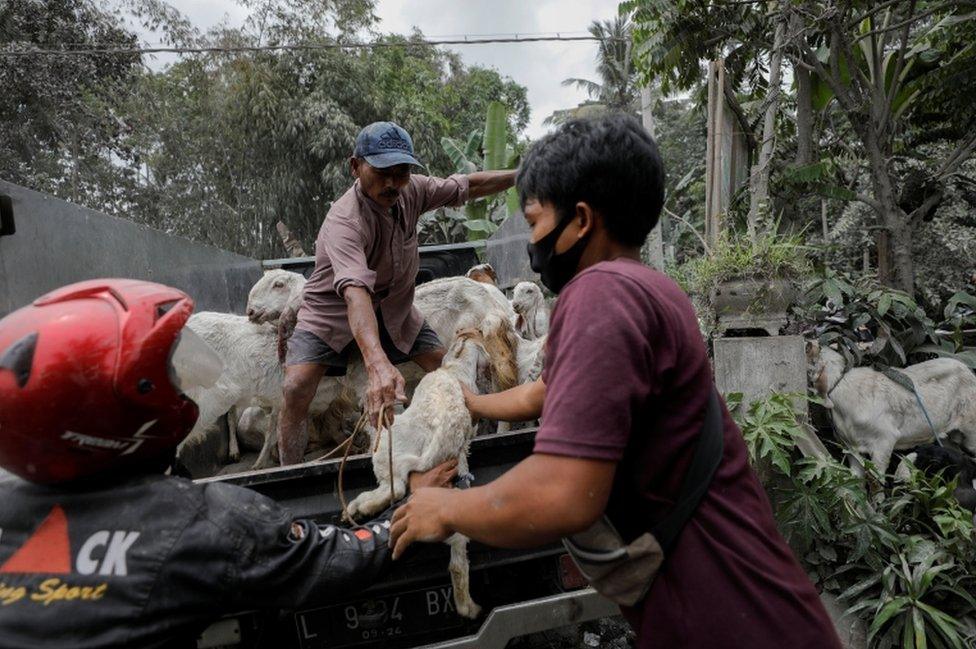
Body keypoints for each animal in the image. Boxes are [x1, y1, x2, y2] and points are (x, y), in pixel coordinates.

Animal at [346, 320, 504, 624]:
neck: (453, 370)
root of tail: (439, 434)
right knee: (457, 556)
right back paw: (468, 607)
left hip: (387, 452)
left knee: (392, 489)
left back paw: (358, 507)